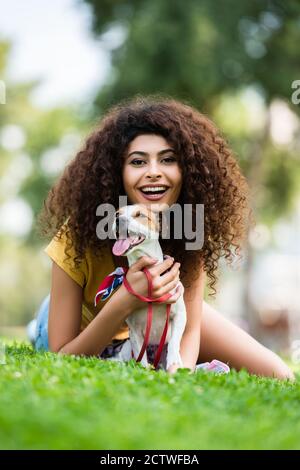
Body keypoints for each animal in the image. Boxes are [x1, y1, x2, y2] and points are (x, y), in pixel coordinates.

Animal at [109, 202, 186, 370]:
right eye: (117, 214)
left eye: (140, 215)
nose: (119, 220)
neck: (148, 271)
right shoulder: (135, 331)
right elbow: (140, 354)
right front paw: (142, 369)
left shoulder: (180, 315)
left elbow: (175, 341)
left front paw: (174, 360)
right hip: (127, 347)